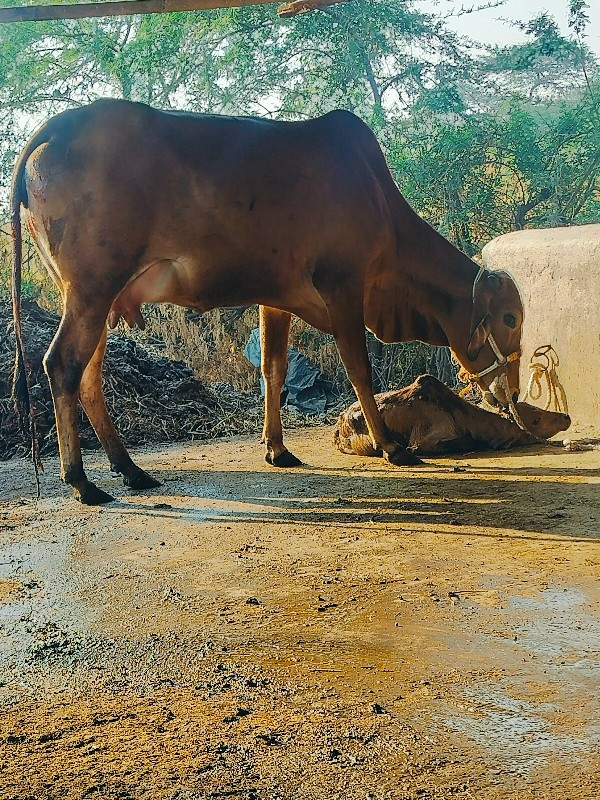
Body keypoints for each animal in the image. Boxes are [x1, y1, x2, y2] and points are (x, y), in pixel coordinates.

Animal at [11, 98, 524, 500]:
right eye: (511, 319)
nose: (514, 392)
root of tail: (56, 126)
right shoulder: (343, 286)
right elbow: (359, 368)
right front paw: (390, 445)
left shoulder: (275, 299)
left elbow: (274, 370)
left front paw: (276, 448)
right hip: (92, 290)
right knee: (62, 365)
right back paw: (81, 480)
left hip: (97, 299)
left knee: (88, 376)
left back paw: (130, 469)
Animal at [336, 376, 568, 456]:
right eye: (536, 420)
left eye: (531, 404)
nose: (566, 417)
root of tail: (338, 430)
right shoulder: (423, 440)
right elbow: (467, 441)